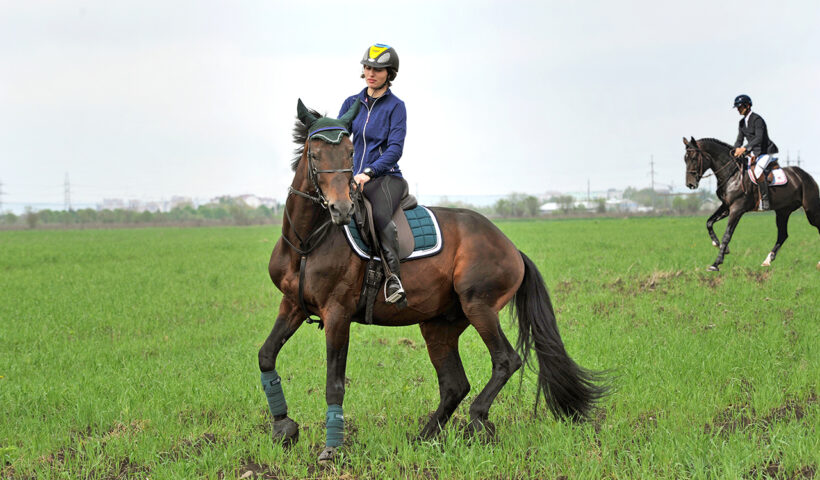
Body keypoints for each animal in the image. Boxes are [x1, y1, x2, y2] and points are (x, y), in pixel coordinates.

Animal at [258, 99, 608, 464]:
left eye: (350, 152)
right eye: (314, 154)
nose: (341, 209)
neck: (308, 241)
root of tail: (511, 247)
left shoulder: (337, 313)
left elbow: (334, 383)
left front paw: (331, 449)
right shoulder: (293, 305)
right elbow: (266, 355)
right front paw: (283, 427)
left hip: (479, 306)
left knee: (505, 360)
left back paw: (476, 420)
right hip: (440, 325)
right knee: (455, 384)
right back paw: (424, 438)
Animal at [680, 136, 820, 270]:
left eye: (694, 158)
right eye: (685, 159)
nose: (690, 184)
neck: (732, 173)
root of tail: (805, 175)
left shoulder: (737, 209)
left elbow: (727, 235)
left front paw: (716, 263)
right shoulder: (726, 206)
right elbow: (709, 222)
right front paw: (719, 245)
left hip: (811, 210)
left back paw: (818, 263)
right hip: (783, 211)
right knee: (782, 235)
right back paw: (767, 260)